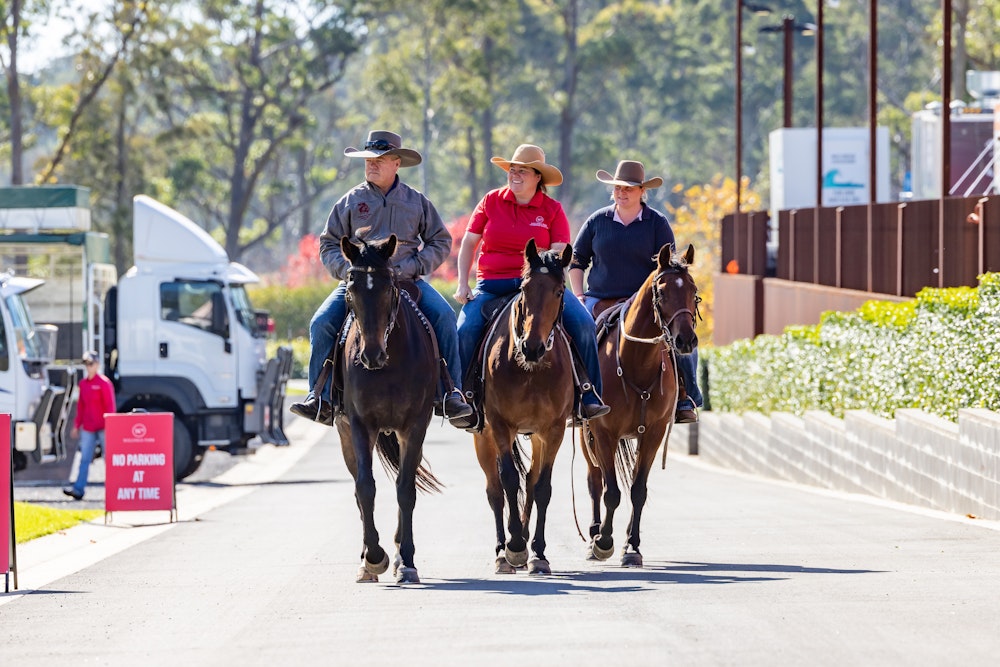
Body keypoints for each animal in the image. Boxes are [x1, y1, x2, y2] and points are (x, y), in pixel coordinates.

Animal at [336, 235, 442, 584]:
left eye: (388, 287)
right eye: (352, 287)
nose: (370, 355)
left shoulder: (414, 427)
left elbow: (405, 490)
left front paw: (405, 560)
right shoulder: (359, 425)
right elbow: (365, 487)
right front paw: (373, 557)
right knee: (358, 487)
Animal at [474, 239, 576, 576]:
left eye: (559, 291)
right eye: (525, 288)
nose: (532, 347)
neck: (530, 368)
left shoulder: (553, 430)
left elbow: (542, 487)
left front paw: (538, 552)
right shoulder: (499, 424)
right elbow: (507, 480)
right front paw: (515, 546)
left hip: (538, 436)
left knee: (530, 482)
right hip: (483, 435)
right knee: (494, 489)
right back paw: (502, 551)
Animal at [584, 243, 700, 568]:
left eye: (694, 291)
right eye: (661, 292)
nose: (685, 341)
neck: (635, 363)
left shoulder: (653, 433)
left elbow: (638, 490)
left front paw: (631, 546)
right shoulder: (604, 433)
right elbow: (610, 492)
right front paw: (604, 542)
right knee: (594, 480)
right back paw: (594, 534)